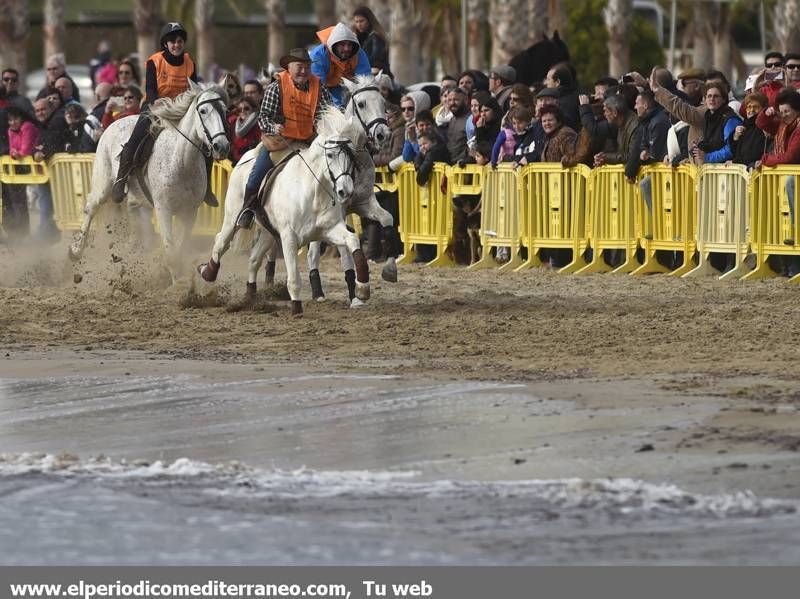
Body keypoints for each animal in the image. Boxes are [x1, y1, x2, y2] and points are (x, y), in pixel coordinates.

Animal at [67, 79, 230, 282]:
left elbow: (180, 246)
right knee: (91, 208)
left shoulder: (189, 212)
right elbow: (171, 250)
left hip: (140, 199)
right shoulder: (163, 209)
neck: (181, 162)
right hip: (103, 184)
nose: (222, 146)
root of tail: (115, 121)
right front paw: (178, 284)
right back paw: (76, 251)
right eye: (203, 110)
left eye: (225, 110)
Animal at [200, 106, 362, 318]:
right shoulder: (289, 237)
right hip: (231, 219)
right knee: (221, 243)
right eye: (331, 155)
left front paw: (363, 289)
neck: (313, 191)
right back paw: (207, 273)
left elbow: (352, 240)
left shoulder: (330, 229)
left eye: (351, 155)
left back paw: (250, 297)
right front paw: (297, 308)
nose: (345, 191)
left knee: (254, 259)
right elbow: (293, 278)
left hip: (268, 233)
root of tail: (246, 157)